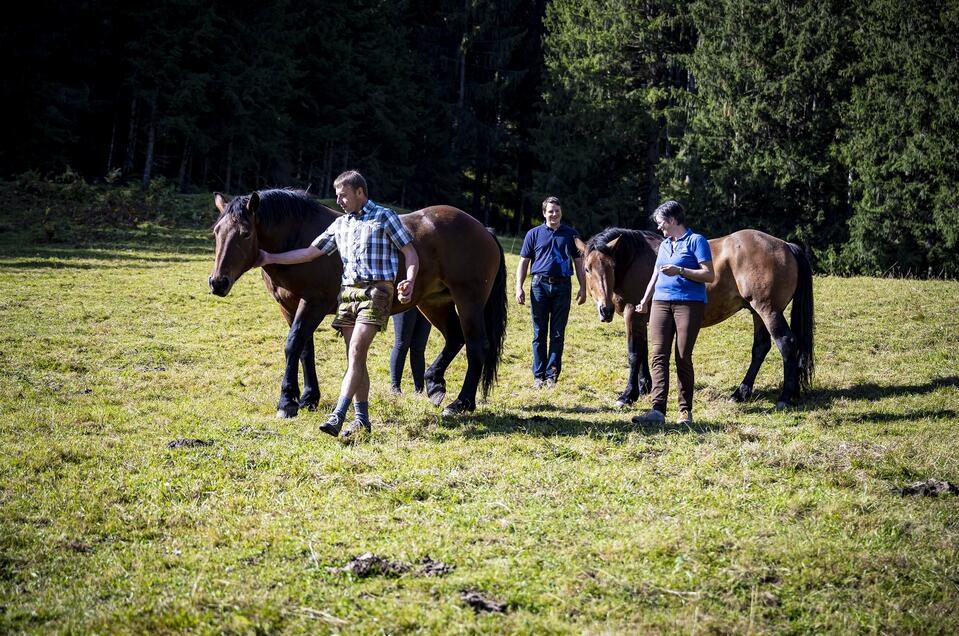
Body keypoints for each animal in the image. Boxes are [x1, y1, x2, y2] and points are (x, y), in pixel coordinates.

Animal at [210, 189, 510, 418]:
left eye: (245, 233)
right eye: (216, 232)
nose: (217, 282)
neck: (299, 238)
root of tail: (483, 229)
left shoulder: (313, 303)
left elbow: (293, 345)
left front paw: (287, 402)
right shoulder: (289, 307)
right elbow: (304, 350)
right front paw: (307, 397)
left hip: (468, 301)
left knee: (476, 346)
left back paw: (461, 403)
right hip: (434, 303)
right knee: (455, 338)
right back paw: (434, 383)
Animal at [580, 227, 812, 408]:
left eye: (611, 266)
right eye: (587, 269)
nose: (605, 310)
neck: (635, 259)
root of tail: (786, 246)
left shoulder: (632, 315)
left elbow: (634, 354)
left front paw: (628, 395)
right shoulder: (642, 317)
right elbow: (644, 351)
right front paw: (645, 386)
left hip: (768, 311)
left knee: (787, 343)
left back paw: (784, 397)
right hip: (757, 313)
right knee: (761, 348)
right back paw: (741, 393)